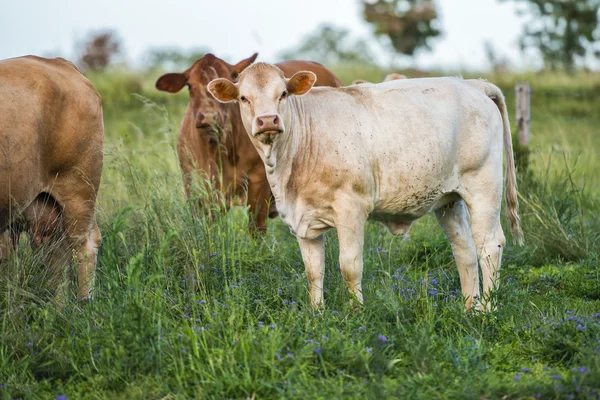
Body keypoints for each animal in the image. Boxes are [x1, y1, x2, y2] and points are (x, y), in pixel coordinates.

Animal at [155, 53, 342, 234]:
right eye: (190, 85)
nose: (209, 117)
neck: (215, 151)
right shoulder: (194, 186)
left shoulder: (259, 183)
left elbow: (256, 228)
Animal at [209, 63, 524, 312]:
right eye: (244, 97)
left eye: (283, 94)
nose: (267, 120)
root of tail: (472, 83)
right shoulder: (303, 220)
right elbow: (313, 271)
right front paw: (317, 314)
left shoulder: (351, 208)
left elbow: (349, 265)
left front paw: (355, 313)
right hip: (450, 200)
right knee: (465, 250)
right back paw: (469, 308)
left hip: (483, 186)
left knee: (489, 246)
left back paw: (487, 311)